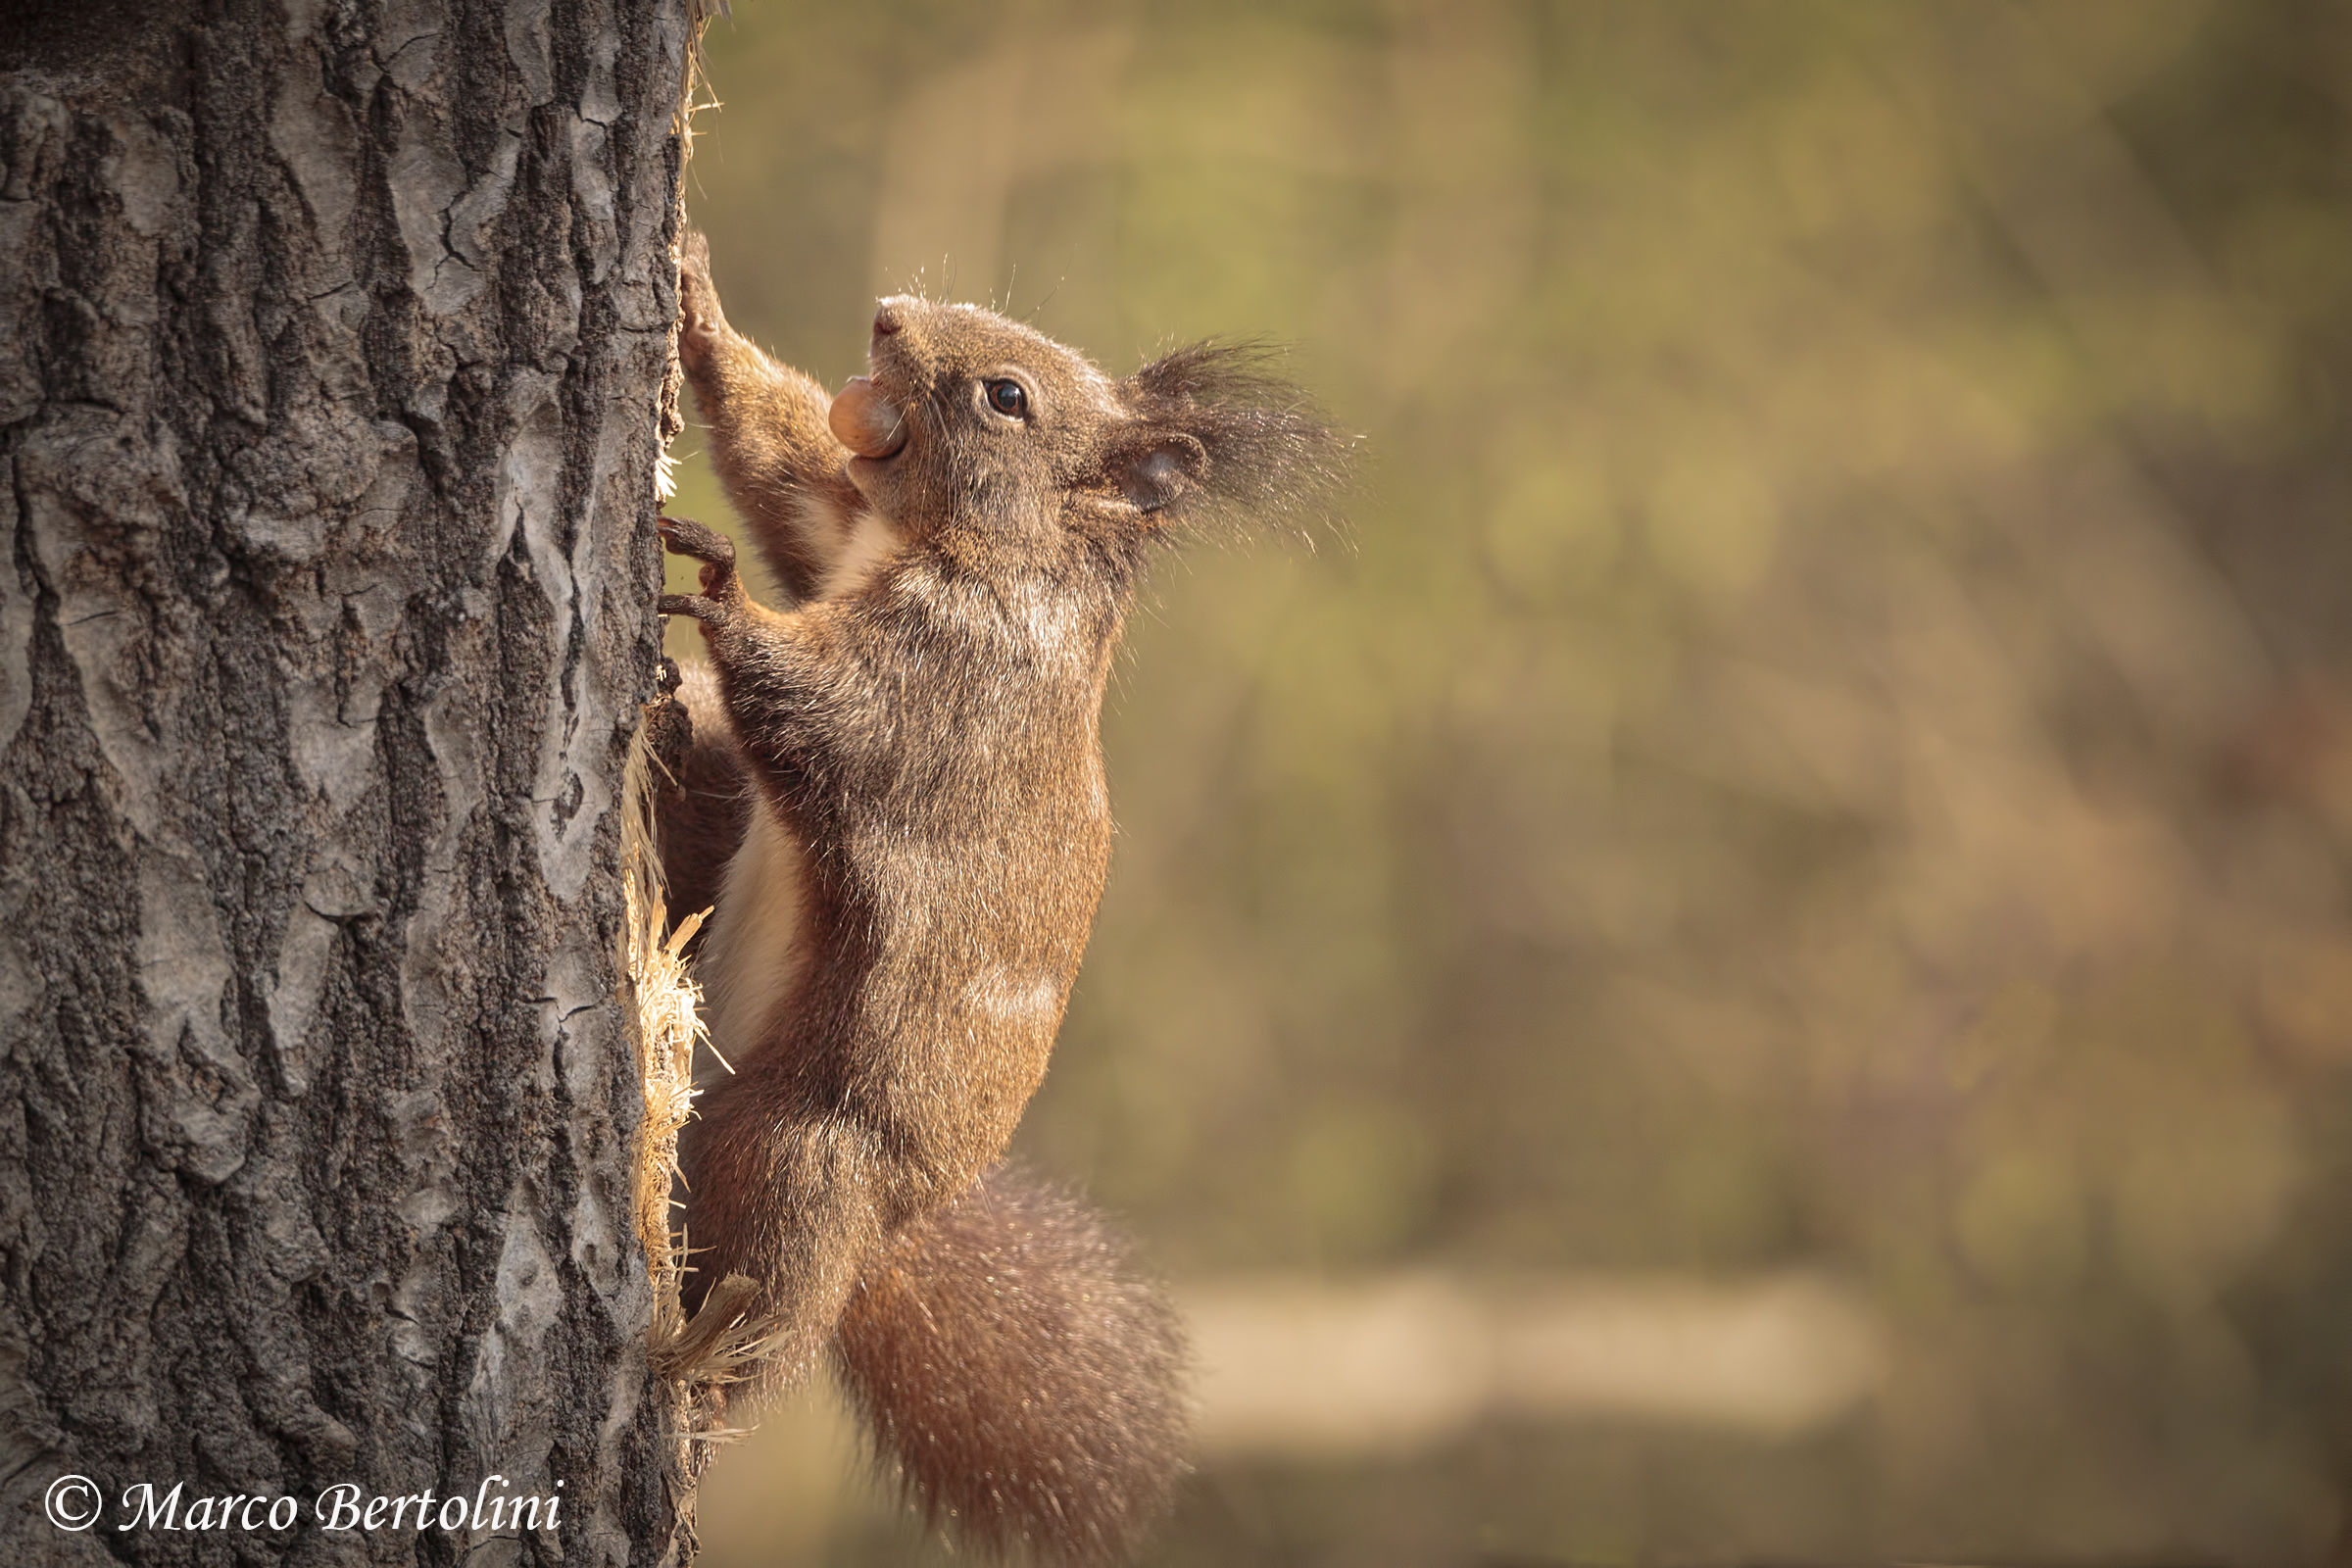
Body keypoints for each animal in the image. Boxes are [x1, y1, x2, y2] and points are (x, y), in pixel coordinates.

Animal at [649, 230, 1345, 1565]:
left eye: (1006, 398)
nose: (887, 318)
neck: (989, 557)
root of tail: (893, 1233)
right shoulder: (838, 524)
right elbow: (783, 461)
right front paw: (697, 304)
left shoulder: (938, 689)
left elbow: (818, 706)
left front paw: (715, 592)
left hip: (801, 1145)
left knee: (768, 1290)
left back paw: (696, 1374)